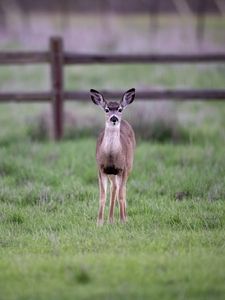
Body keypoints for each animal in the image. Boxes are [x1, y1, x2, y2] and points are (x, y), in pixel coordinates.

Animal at [90, 88, 136, 224]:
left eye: (120, 109)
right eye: (106, 109)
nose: (114, 118)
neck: (111, 156)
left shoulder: (123, 169)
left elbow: (121, 194)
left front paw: (122, 220)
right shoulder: (101, 169)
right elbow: (102, 195)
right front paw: (99, 222)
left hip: (129, 166)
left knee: (122, 189)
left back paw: (122, 217)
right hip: (111, 173)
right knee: (114, 188)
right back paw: (110, 219)